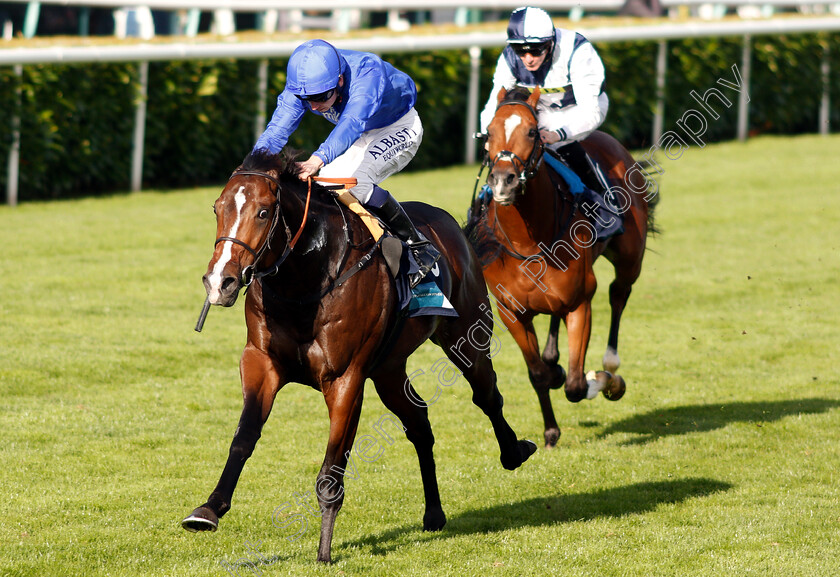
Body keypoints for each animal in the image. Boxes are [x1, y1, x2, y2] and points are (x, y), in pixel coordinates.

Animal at [180, 148, 536, 564]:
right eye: (217, 208)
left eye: (264, 212)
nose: (219, 282)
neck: (306, 278)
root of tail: (451, 224)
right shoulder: (260, 361)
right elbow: (244, 436)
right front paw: (209, 509)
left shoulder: (345, 378)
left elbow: (332, 470)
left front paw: (324, 551)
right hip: (388, 370)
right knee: (419, 423)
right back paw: (433, 513)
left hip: (466, 335)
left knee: (486, 395)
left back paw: (514, 451)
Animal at [466, 85, 656, 448]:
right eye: (489, 133)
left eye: (532, 131)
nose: (503, 181)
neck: (528, 242)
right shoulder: (511, 312)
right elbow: (539, 374)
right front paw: (550, 431)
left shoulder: (580, 301)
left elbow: (577, 385)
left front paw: (602, 380)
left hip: (630, 259)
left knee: (618, 295)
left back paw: (610, 367)